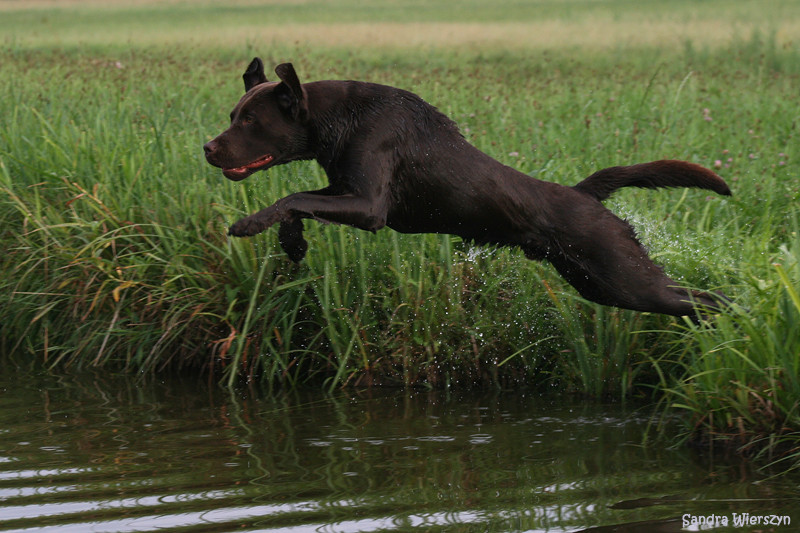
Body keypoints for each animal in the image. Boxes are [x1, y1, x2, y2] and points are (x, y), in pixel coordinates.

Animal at [205, 58, 732, 316]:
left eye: (250, 121)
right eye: (231, 115)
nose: (207, 148)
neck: (337, 118)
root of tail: (584, 194)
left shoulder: (370, 206)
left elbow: (293, 197)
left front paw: (248, 224)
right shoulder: (344, 191)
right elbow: (298, 205)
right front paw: (291, 243)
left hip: (625, 277)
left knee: (706, 299)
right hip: (597, 283)